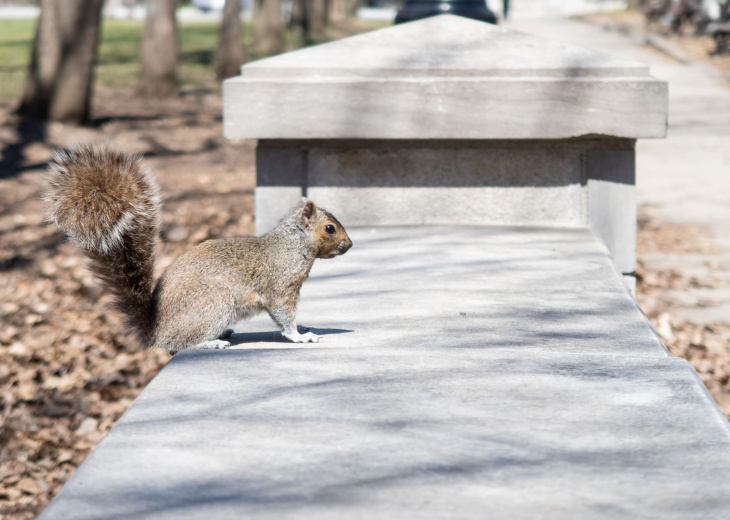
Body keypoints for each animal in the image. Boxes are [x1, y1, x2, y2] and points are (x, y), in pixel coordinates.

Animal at [43, 144, 352, 352]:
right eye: (330, 228)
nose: (349, 244)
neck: (293, 244)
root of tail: (154, 332)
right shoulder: (280, 285)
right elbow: (283, 316)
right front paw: (301, 336)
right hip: (213, 304)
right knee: (178, 343)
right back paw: (210, 343)